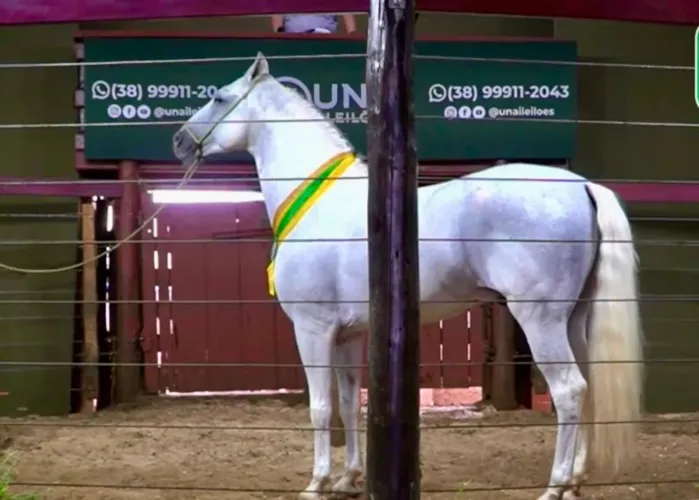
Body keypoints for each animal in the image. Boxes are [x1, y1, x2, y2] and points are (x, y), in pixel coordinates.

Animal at [172, 53, 643, 500]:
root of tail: (581, 186)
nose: (179, 141)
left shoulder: (313, 329)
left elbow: (321, 407)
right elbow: (349, 404)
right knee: (588, 386)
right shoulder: (347, 334)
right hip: (574, 318)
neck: (318, 202)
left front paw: (318, 483)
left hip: (540, 320)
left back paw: (555, 485)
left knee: (569, 390)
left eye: (219, 98)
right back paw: (576, 480)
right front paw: (348, 479)